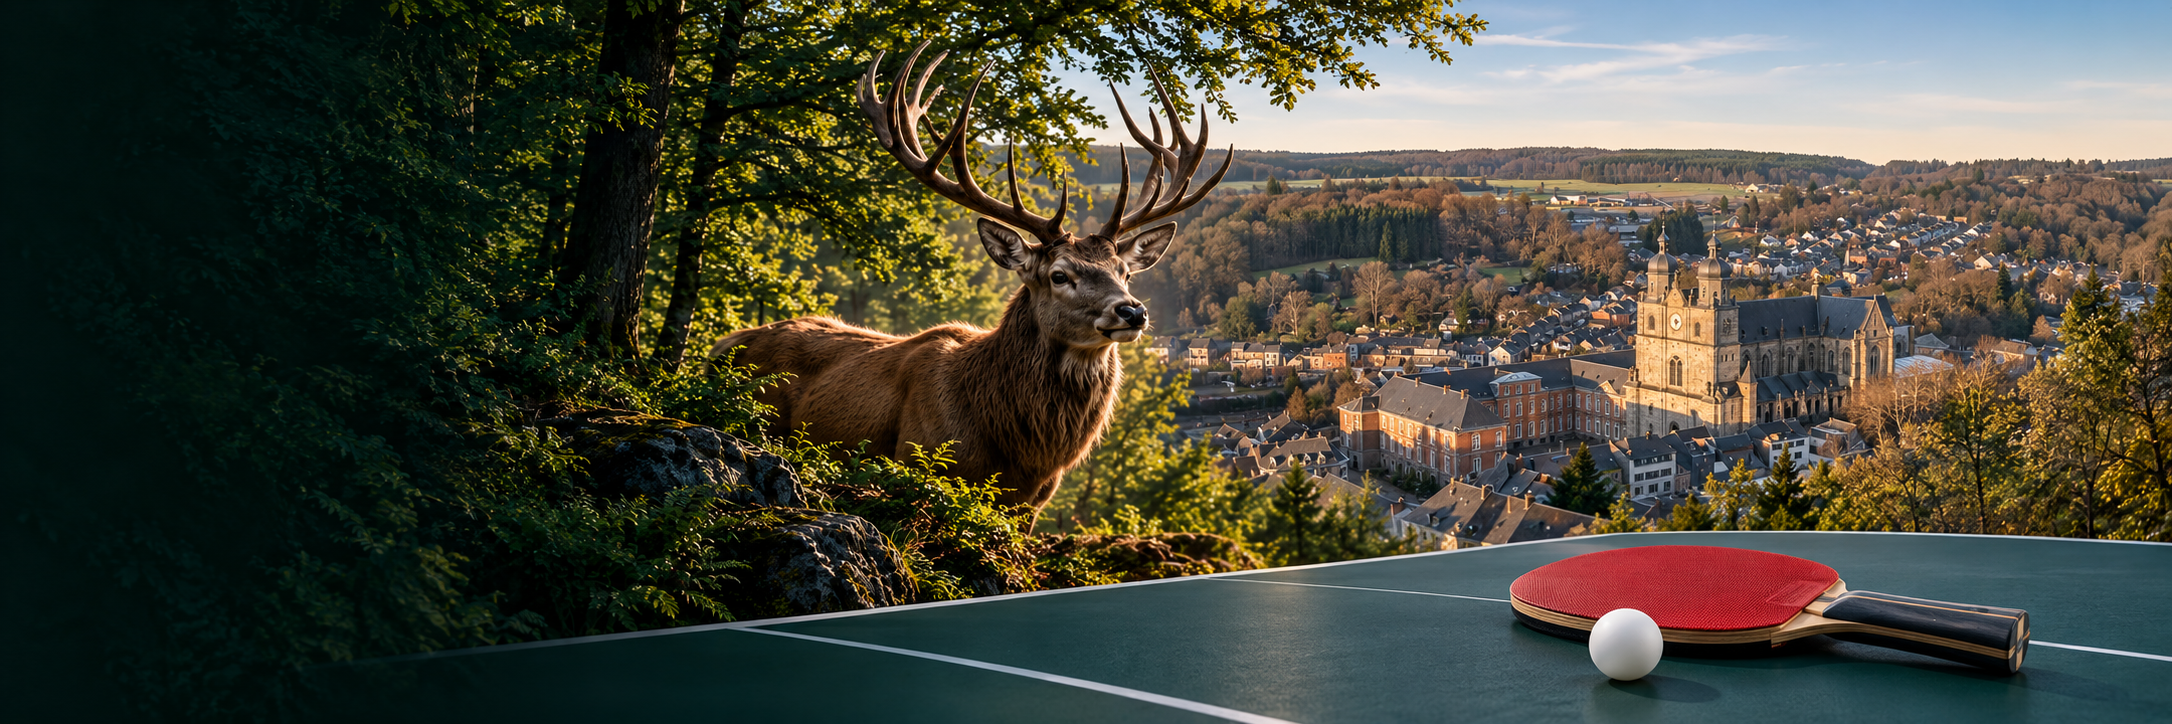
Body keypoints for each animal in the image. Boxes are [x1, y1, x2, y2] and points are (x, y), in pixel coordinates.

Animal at [710, 42, 1231, 518]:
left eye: (1124, 272)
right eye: (1059, 274)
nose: (1132, 310)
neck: (1018, 454)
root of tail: (718, 348)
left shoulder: (1032, 506)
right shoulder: (917, 465)